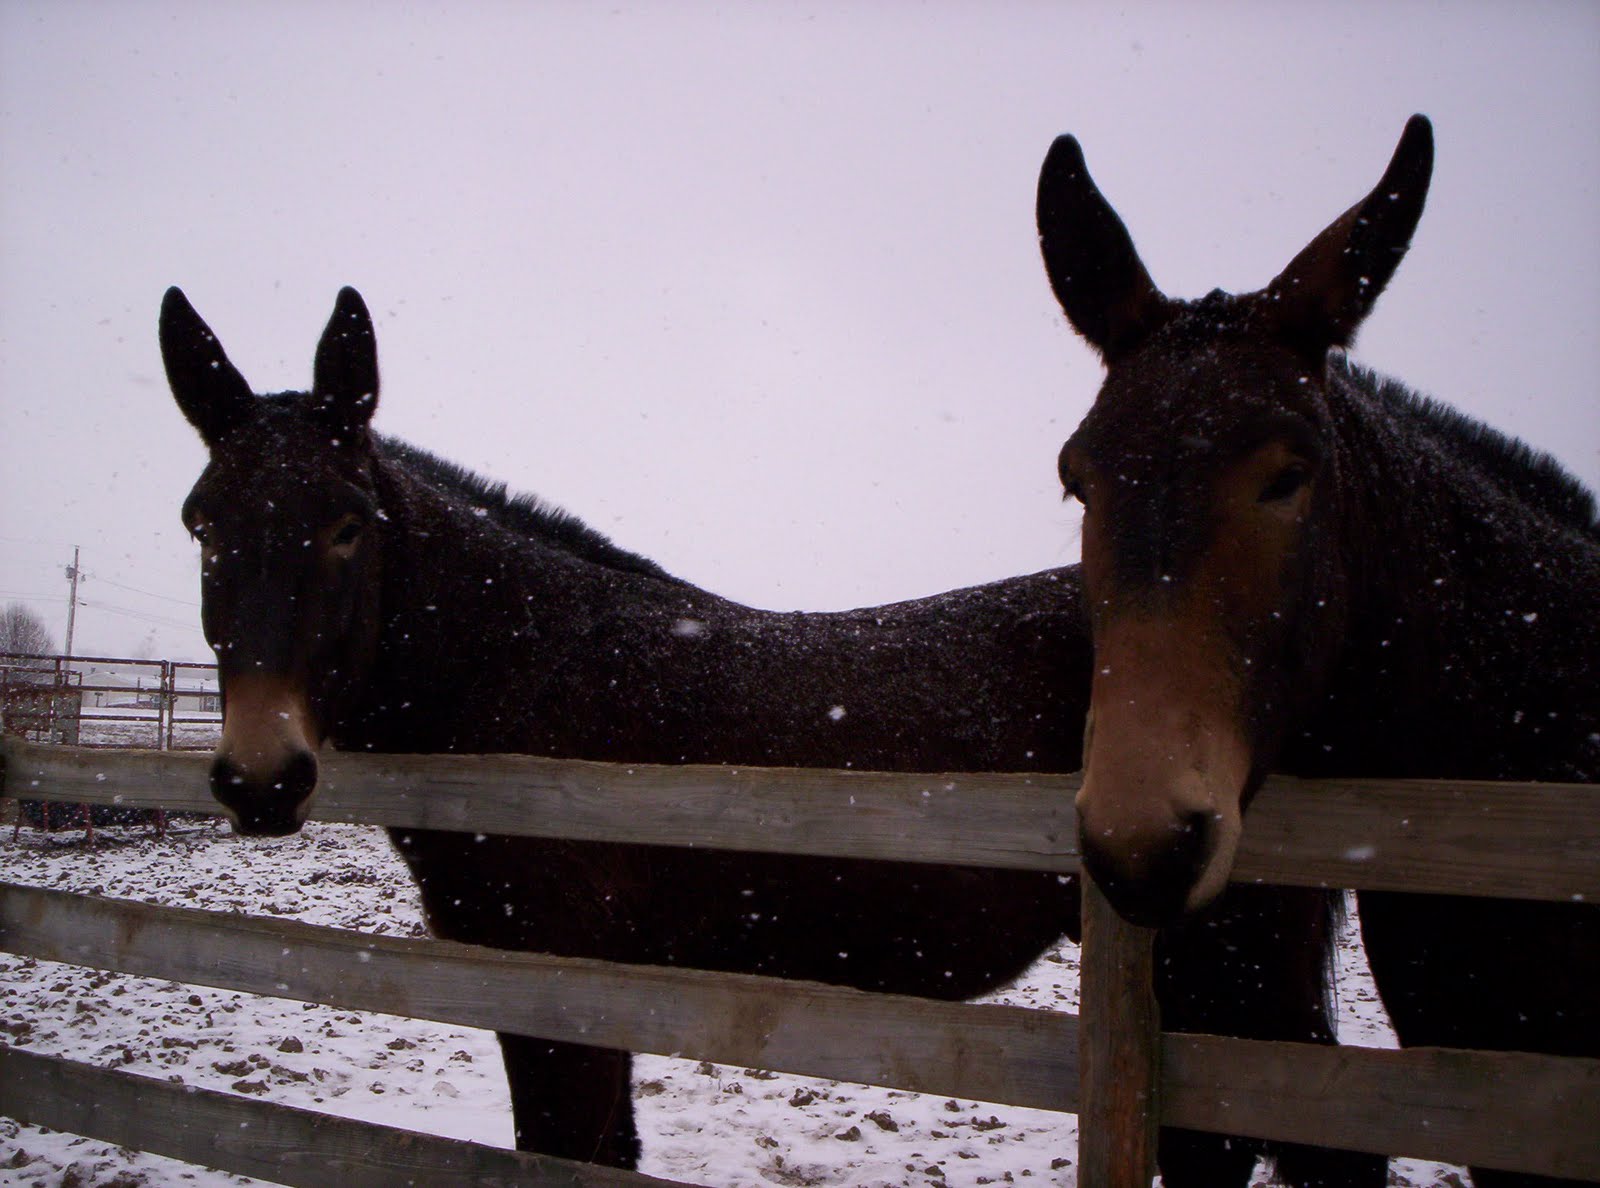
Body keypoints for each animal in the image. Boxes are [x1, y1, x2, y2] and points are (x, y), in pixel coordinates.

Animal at [162, 285, 1367, 1184]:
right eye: (201, 522)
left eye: (346, 526)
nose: (261, 778)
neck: (530, 677)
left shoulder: (558, 996)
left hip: (1237, 971)